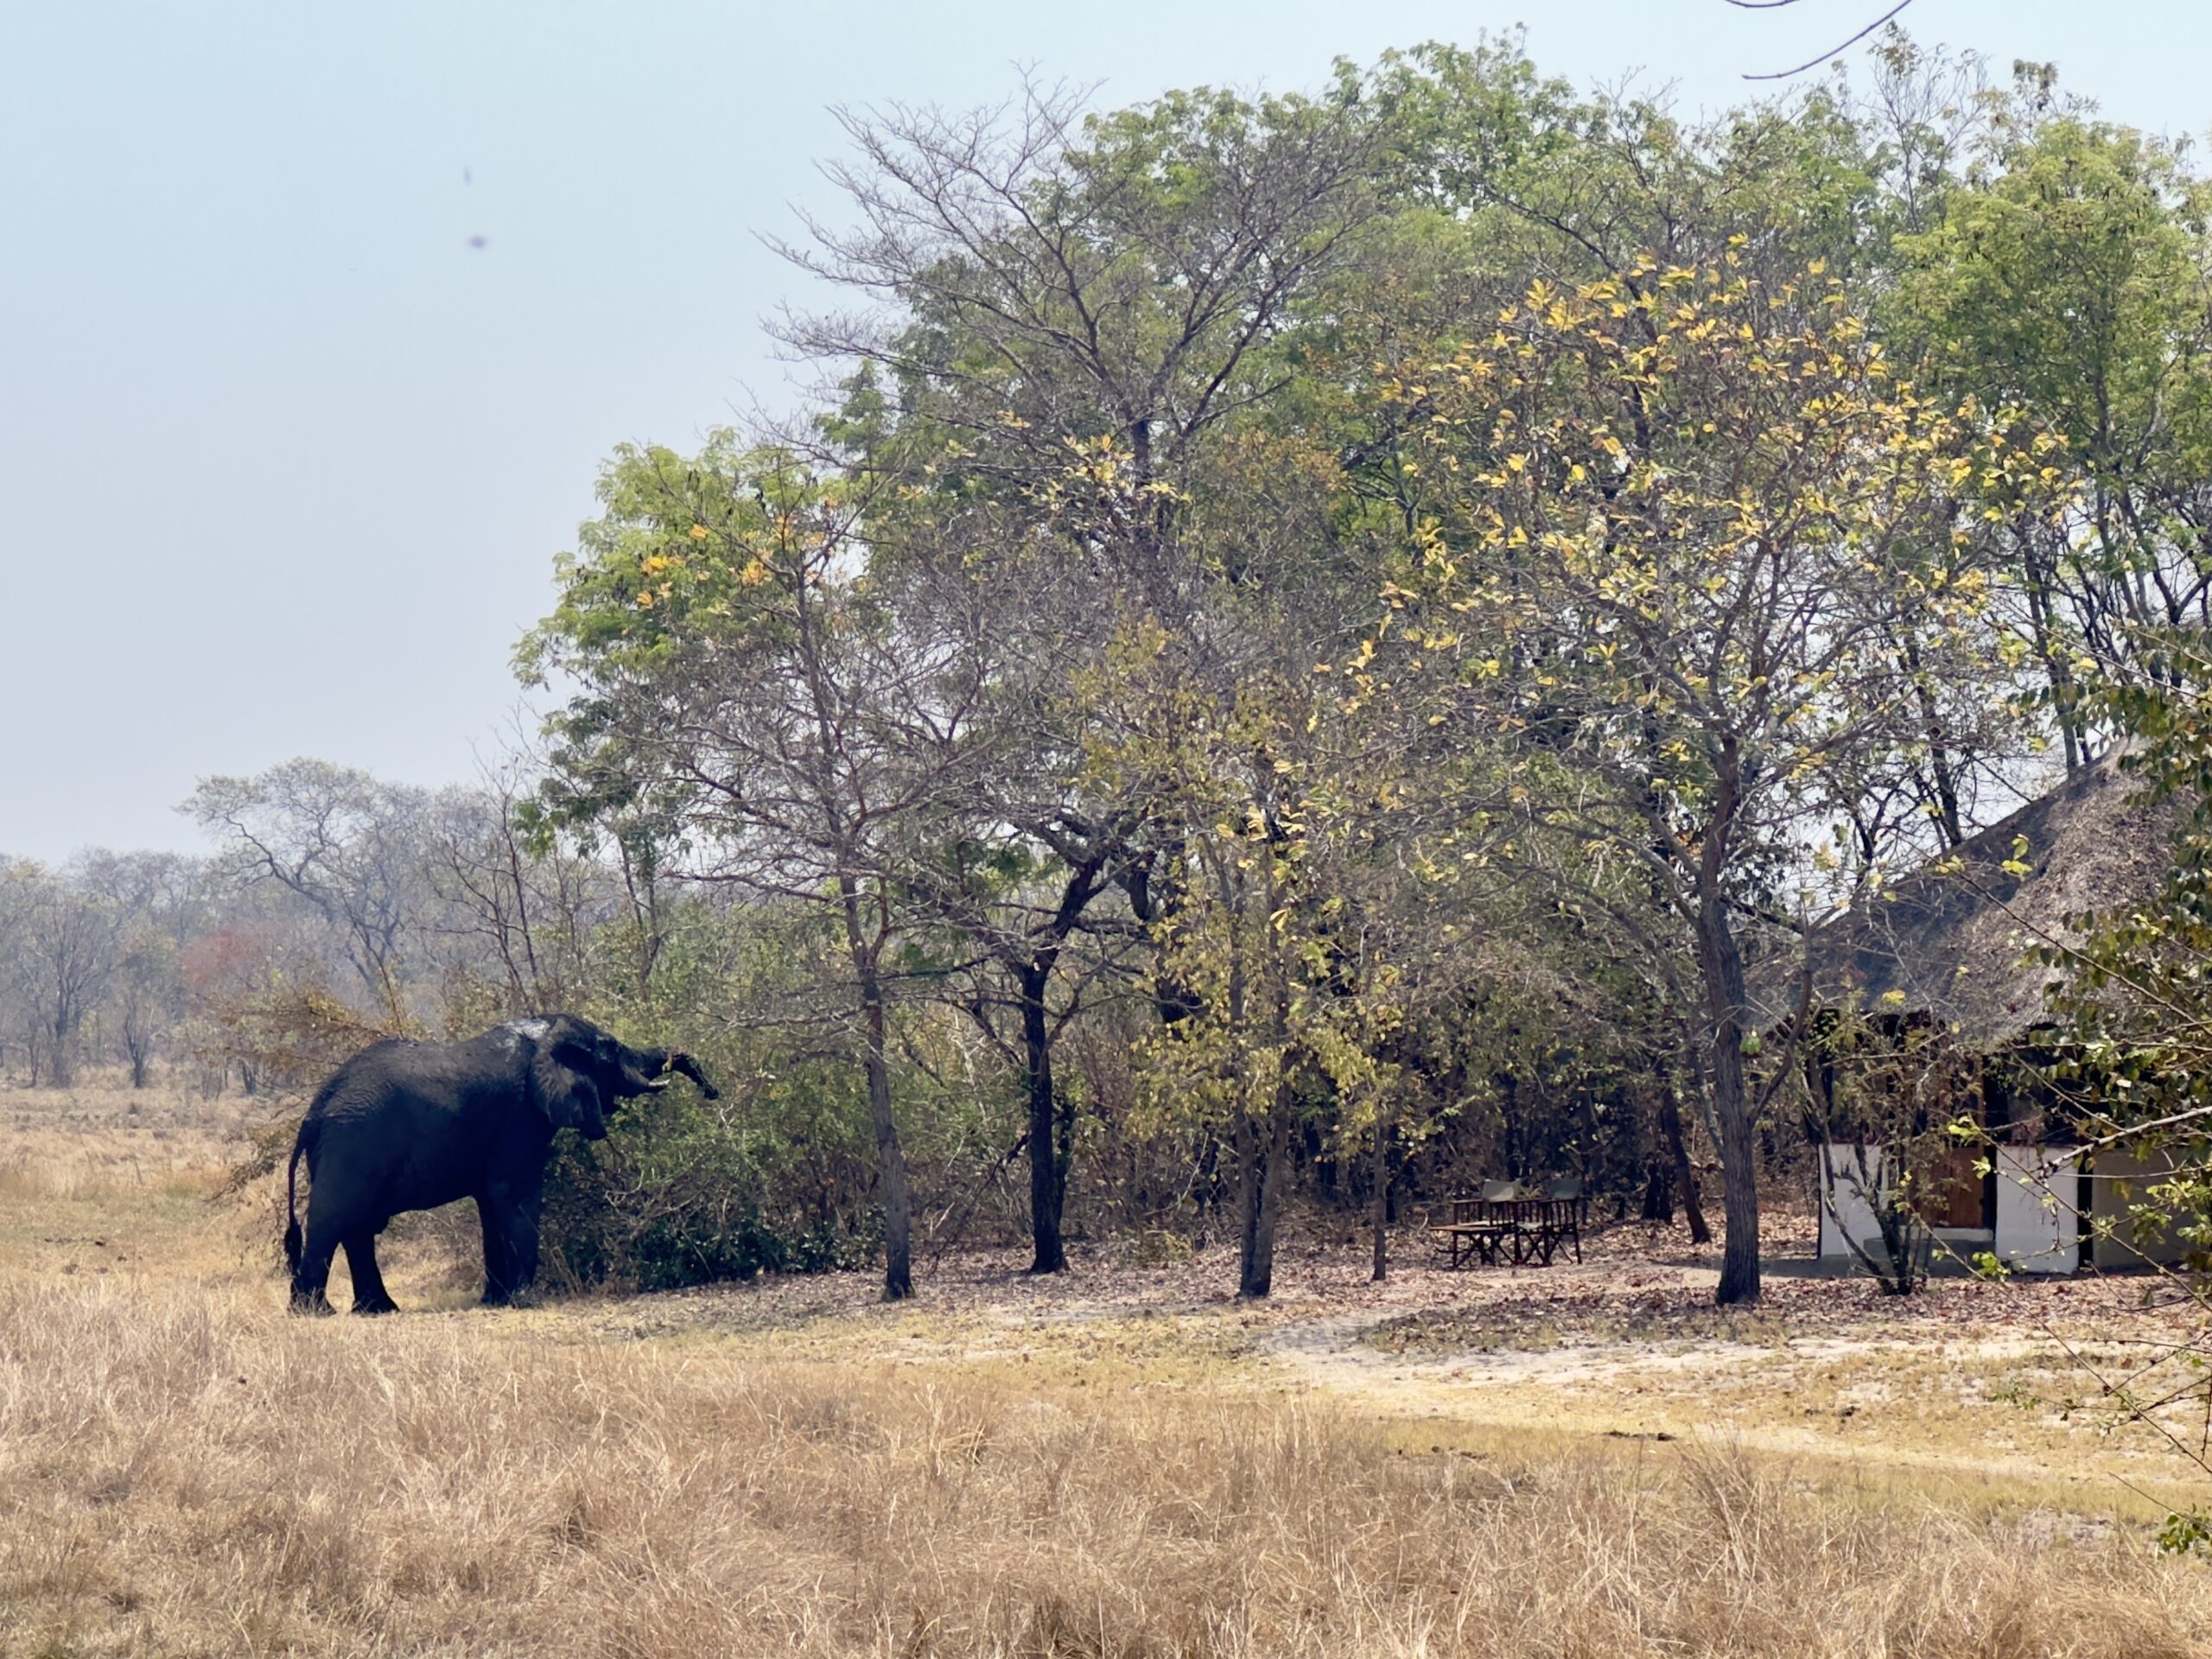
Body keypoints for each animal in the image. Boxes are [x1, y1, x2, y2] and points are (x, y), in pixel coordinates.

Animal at [283, 1015, 717, 1313]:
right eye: (609, 1049)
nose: (713, 1093)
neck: (546, 1034)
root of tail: (314, 1113)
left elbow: (490, 1206)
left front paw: (495, 1301)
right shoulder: (520, 1115)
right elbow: (515, 1194)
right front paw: (528, 1301)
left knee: (357, 1227)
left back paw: (378, 1311)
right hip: (353, 1143)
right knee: (334, 1218)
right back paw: (316, 1313)